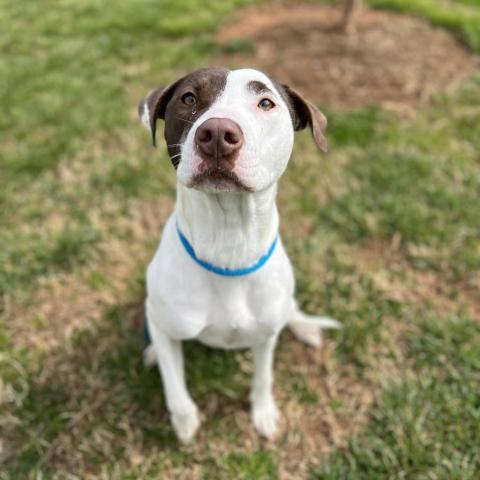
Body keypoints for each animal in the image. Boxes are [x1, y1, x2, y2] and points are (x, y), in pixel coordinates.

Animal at [139, 66, 340, 442]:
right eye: (188, 97)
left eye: (265, 103)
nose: (218, 133)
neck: (229, 242)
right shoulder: (161, 323)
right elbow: (174, 386)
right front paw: (184, 422)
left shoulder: (265, 337)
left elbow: (263, 377)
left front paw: (263, 414)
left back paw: (305, 327)